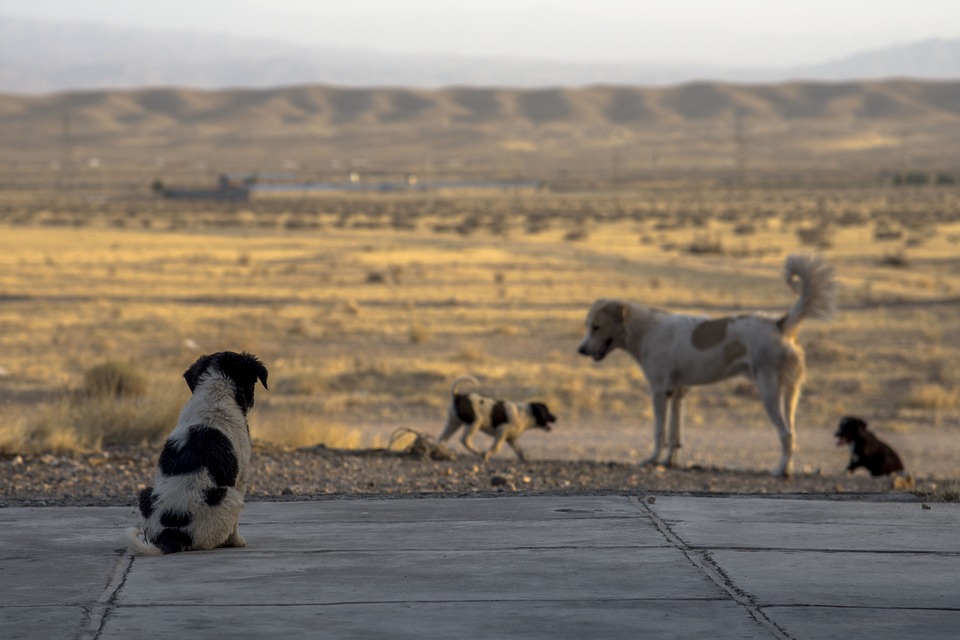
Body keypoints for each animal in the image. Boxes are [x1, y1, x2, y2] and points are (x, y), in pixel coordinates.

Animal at [124, 350, 266, 556]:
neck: (216, 393)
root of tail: (172, 535)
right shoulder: (241, 477)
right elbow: (235, 527)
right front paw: (237, 541)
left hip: (145, 494)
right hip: (231, 497)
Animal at [572, 254, 836, 476]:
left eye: (596, 327)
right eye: (587, 325)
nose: (581, 350)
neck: (646, 330)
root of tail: (780, 324)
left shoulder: (658, 391)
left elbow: (659, 431)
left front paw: (652, 460)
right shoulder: (677, 393)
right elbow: (674, 433)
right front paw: (669, 461)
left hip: (768, 392)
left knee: (786, 434)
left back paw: (779, 471)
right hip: (791, 393)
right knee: (792, 432)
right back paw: (787, 469)